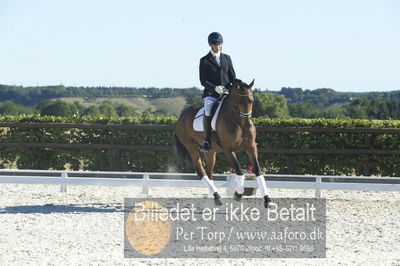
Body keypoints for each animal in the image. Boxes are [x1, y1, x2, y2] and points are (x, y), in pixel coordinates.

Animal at [175, 79, 272, 208]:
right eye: (236, 104)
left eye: (251, 101)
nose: (247, 126)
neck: (238, 122)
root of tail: (182, 116)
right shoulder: (228, 150)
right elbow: (239, 171)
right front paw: (238, 194)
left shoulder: (251, 147)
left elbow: (258, 171)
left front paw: (267, 200)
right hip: (191, 147)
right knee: (201, 171)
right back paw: (217, 197)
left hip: (210, 152)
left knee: (209, 172)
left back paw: (214, 196)